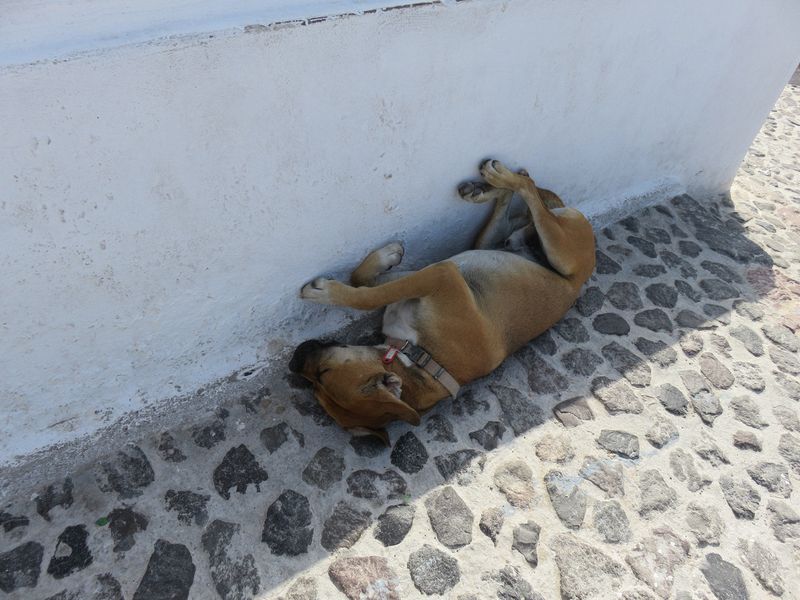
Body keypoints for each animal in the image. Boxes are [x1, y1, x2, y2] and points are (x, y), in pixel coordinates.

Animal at [288, 159, 592, 446]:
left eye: (323, 373)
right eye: (313, 388)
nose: (294, 360)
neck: (422, 360)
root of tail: (578, 283)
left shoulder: (441, 276)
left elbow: (366, 294)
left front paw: (325, 292)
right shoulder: (424, 279)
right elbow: (364, 279)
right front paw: (385, 258)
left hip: (562, 249)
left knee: (533, 194)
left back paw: (500, 177)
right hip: (493, 241)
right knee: (525, 200)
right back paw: (485, 190)